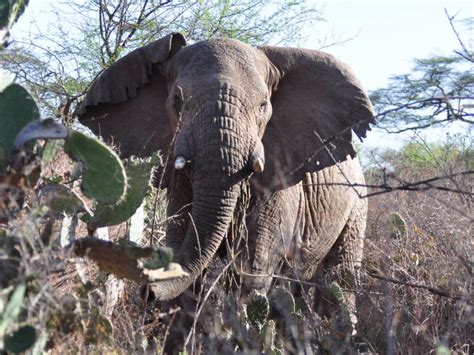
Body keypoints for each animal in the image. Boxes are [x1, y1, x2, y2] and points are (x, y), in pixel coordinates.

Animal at [76, 32, 376, 326]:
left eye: (263, 106)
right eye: (177, 101)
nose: (146, 292)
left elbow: (253, 272)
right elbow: (183, 247)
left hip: (357, 205)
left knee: (338, 280)